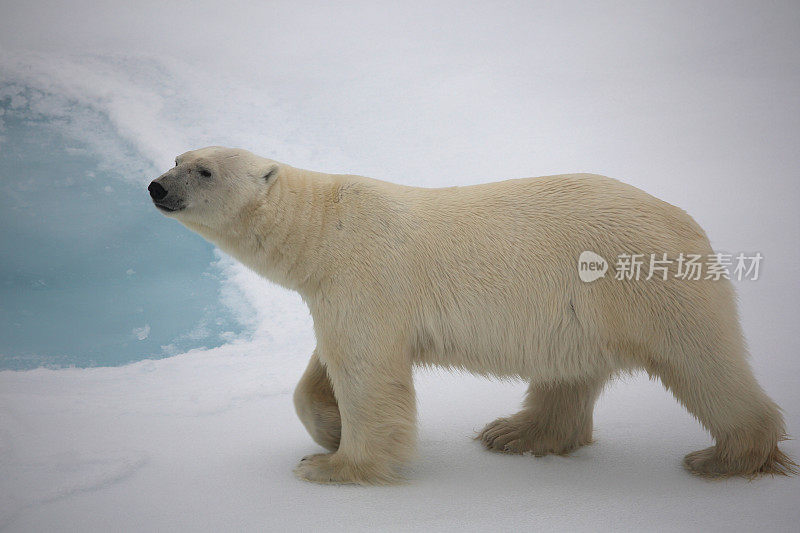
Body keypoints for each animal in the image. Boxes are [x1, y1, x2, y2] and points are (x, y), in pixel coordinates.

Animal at [148, 145, 792, 482]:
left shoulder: (365, 275)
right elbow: (320, 371)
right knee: (569, 374)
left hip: (643, 286)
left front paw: (334, 465)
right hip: (583, 308)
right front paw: (328, 430)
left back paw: (727, 456)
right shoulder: (333, 291)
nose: (155, 186)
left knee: (704, 363)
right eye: (177, 155)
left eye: (203, 170)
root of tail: (690, 223)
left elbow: (367, 372)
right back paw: (517, 433)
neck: (323, 227)